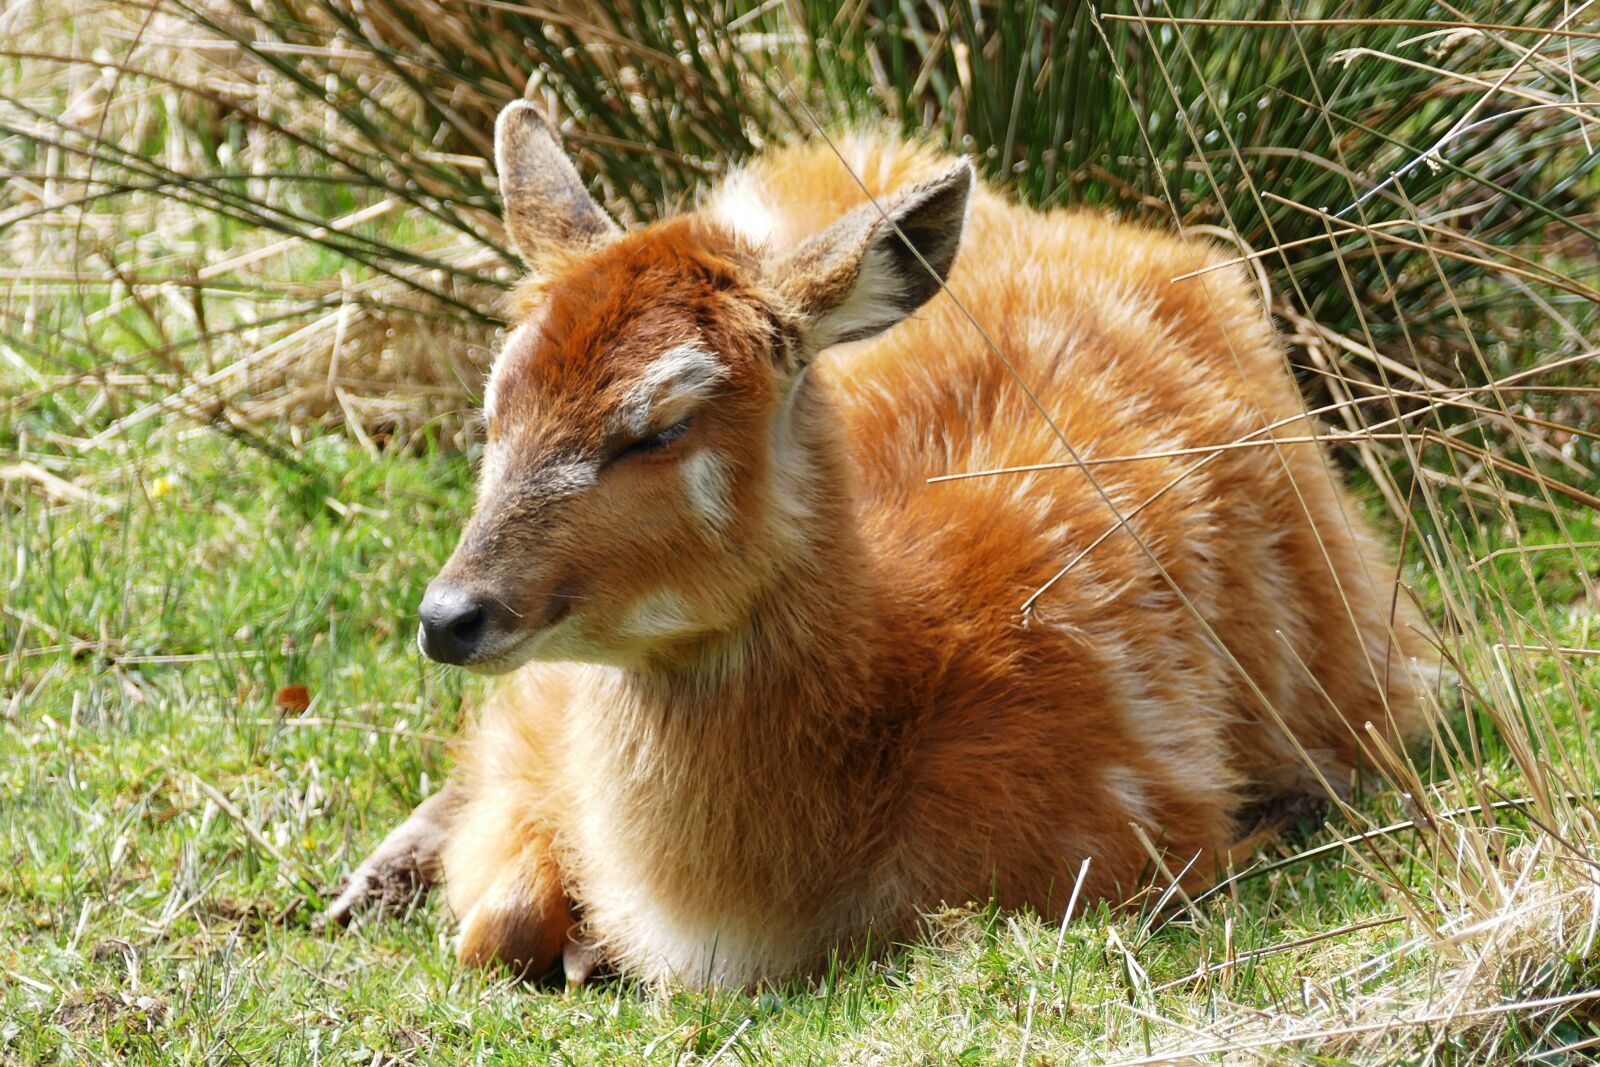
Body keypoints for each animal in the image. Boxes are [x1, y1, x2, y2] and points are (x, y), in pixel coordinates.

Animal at [323, 101, 1430, 989]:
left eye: (659, 424)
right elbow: (491, 922)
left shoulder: (1129, 841)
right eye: (495, 402)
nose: (450, 616)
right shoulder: (538, 731)